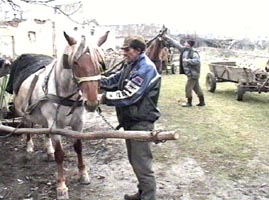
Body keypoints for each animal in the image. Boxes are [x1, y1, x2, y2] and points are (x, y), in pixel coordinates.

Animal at [9, 30, 108, 198]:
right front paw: (61, 186)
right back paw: (29, 148)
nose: (92, 103)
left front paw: (83, 175)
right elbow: (60, 154)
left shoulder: (78, 123)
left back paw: (48, 150)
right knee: (28, 128)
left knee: (44, 131)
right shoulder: (55, 125)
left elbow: (78, 147)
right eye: (75, 63)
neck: (66, 95)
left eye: (100, 63)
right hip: (25, 113)